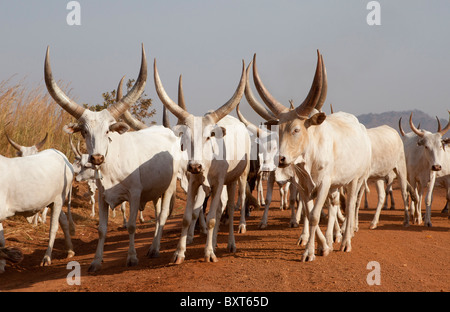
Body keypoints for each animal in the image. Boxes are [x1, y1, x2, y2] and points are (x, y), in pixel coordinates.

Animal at [44, 44, 185, 270]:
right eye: (84, 131)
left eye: (108, 130)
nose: (97, 158)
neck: (111, 166)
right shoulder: (103, 196)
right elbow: (102, 229)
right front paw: (96, 261)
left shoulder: (135, 194)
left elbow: (132, 226)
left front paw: (132, 257)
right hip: (156, 191)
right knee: (157, 216)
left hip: (170, 186)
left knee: (162, 215)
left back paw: (155, 249)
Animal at [155, 58, 250, 264]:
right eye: (185, 138)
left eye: (208, 137)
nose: (195, 166)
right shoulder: (194, 182)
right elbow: (187, 217)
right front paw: (179, 253)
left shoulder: (219, 182)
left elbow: (213, 218)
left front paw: (208, 253)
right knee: (221, 208)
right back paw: (213, 243)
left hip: (235, 179)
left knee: (232, 208)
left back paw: (231, 243)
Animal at [251, 50, 370, 260]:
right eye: (278, 130)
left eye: (296, 129)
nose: (281, 159)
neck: (310, 159)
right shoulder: (303, 186)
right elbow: (309, 212)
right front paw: (322, 246)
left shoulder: (323, 184)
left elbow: (315, 215)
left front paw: (309, 252)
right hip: (336, 185)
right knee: (334, 205)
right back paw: (333, 238)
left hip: (354, 180)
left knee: (350, 206)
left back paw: (346, 241)